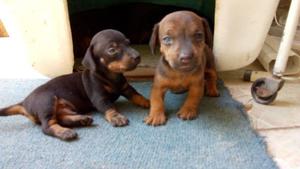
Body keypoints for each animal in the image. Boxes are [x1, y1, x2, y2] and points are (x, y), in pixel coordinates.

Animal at [0, 29, 150, 141]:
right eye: (112, 50)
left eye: (128, 43)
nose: (137, 56)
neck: (111, 76)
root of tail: (24, 102)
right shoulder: (99, 98)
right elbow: (109, 107)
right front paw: (116, 117)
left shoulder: (126, 88)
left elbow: (137, 95)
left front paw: (148, 102)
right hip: (47, 100)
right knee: (47, 126)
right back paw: (65, 132)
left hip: (64, 108)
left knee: (61, 119)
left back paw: (81, 120)